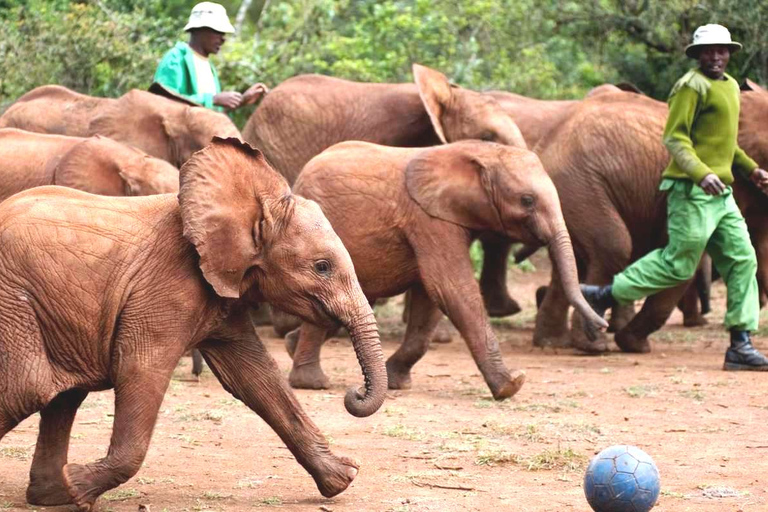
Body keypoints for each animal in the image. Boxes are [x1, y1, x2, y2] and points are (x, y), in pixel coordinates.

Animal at [0, 138, 388, 510]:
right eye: (322, 266)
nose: (353, 394)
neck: (252, 204)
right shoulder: (166, 287)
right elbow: (141, 369)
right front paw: (80, 487)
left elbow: (255, 378)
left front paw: (342, 479)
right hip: (14, 302)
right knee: (29, 389)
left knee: (61, 396)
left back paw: (51, 495)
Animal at [284, 139, 608, 400]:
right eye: (526, 200)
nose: (601, 327)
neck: (479, 152)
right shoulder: (429, 219)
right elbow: (451, 288)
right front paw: (511, 385)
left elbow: (429, 300)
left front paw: (397, 383)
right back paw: (311, 383)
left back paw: (290, 346)